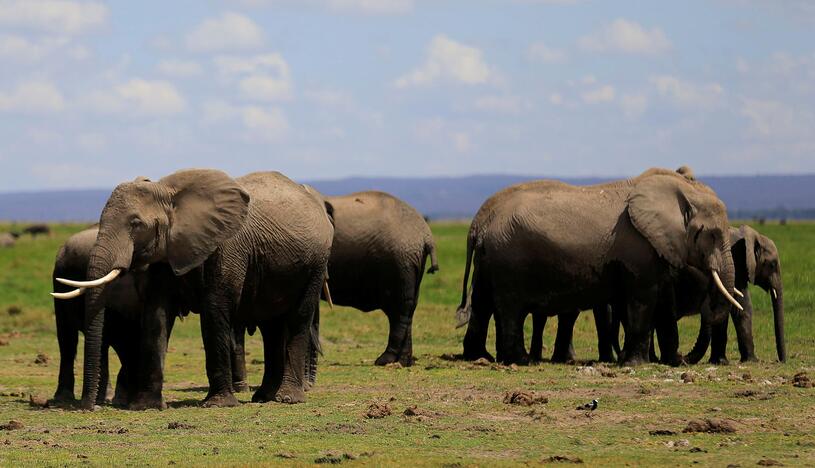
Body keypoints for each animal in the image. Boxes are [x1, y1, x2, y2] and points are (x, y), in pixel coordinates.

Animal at [314, 190, 440, 366]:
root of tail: (426, 234)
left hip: (399, 263)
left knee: (399, 310)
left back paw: (385, 360)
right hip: (411, 263)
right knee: (408, 309)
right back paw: (403, 361)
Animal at [456, 167, 744, 366]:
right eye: (712, 234)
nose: (685, 358)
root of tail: (481, 225)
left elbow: (663, 300)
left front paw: (671, 362)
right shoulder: (638, 249)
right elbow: (643, 299)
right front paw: (636, 364)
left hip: (491, 260)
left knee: (483, 304)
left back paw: (481, 357)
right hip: (510, 260)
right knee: (510, 309)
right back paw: (521, 361)